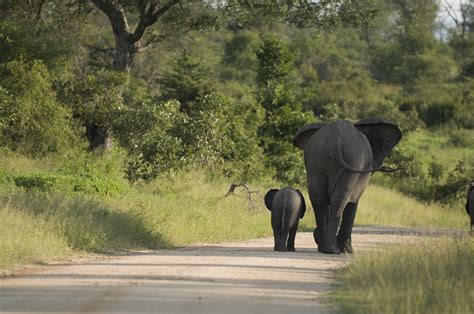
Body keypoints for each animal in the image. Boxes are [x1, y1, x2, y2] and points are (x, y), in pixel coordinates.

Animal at [294, 119, 402, 254]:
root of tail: (336, 141)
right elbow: (353, 203)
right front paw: (348, 250)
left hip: (315, 162)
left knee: (318, 199)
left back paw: (325, 248)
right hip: (353, 161)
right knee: (340, 199)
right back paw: (333, 250)